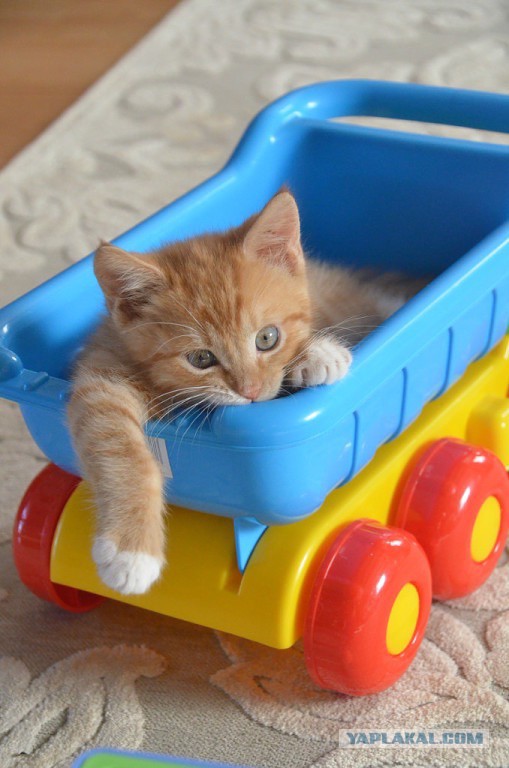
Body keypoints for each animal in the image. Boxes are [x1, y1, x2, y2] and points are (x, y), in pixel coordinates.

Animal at [68, 190, 422, 595]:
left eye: (267, 338)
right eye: (200, 358)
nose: (250, 391)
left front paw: (317, 353)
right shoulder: (102, 375)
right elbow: (115, 445)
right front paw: (131, 552)